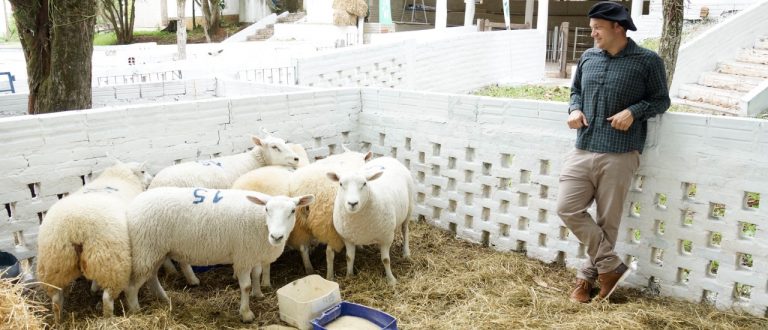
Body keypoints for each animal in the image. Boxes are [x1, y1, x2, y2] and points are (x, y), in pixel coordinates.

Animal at [36, 160, 154, 322]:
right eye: (143, 171)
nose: (152, 178)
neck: (121, 177)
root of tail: (75, 227)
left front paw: (93, 288)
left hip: (55, 263)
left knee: (56, 299)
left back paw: (59, 321)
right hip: (111, 260)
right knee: (107, 298)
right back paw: (108, 319)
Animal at [124, 188, 314, 322]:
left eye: (293, 211)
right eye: (267, 209)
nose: (276, 237)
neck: (261, 223)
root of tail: (134, 203)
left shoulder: (253, 253)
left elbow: (257, 274)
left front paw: (258, 294)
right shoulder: (243, 256)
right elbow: (245, 286)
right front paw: (246, 313)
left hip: (155, 251)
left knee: (151, 276)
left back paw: (164, 299)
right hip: (146, 248)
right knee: (132, 286)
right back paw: (136, 311)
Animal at [328, 156, 416, 284]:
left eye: (364, 183)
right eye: (340, 184)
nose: (352, 203)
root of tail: (388, 157)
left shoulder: (386, 238)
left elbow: (385, 260)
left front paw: (391, 280)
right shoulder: (347, 238)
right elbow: (349, 257)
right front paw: (349, 276)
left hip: (409, 208)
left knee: (405, 230)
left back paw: (406, 253)